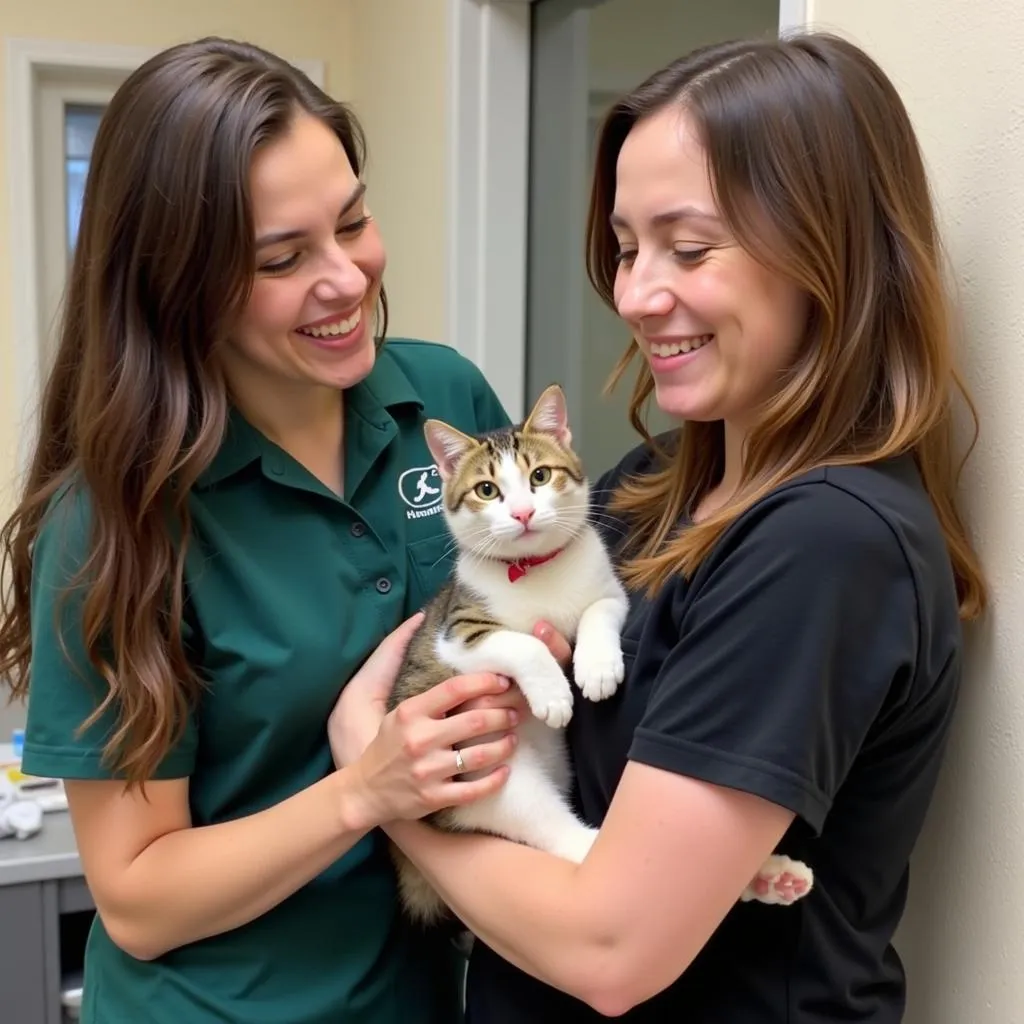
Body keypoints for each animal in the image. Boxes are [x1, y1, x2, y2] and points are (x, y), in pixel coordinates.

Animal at [387, 385, 811, 929]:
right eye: (486, 490)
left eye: (539, 476)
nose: (522, 513)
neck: (537, 570)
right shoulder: (456, 634)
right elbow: (521, 643)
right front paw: (552, 694)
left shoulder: (608, 590)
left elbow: (600, 611)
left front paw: (597, 667)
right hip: (495, 783)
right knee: (573, 845)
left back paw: (771, 876)